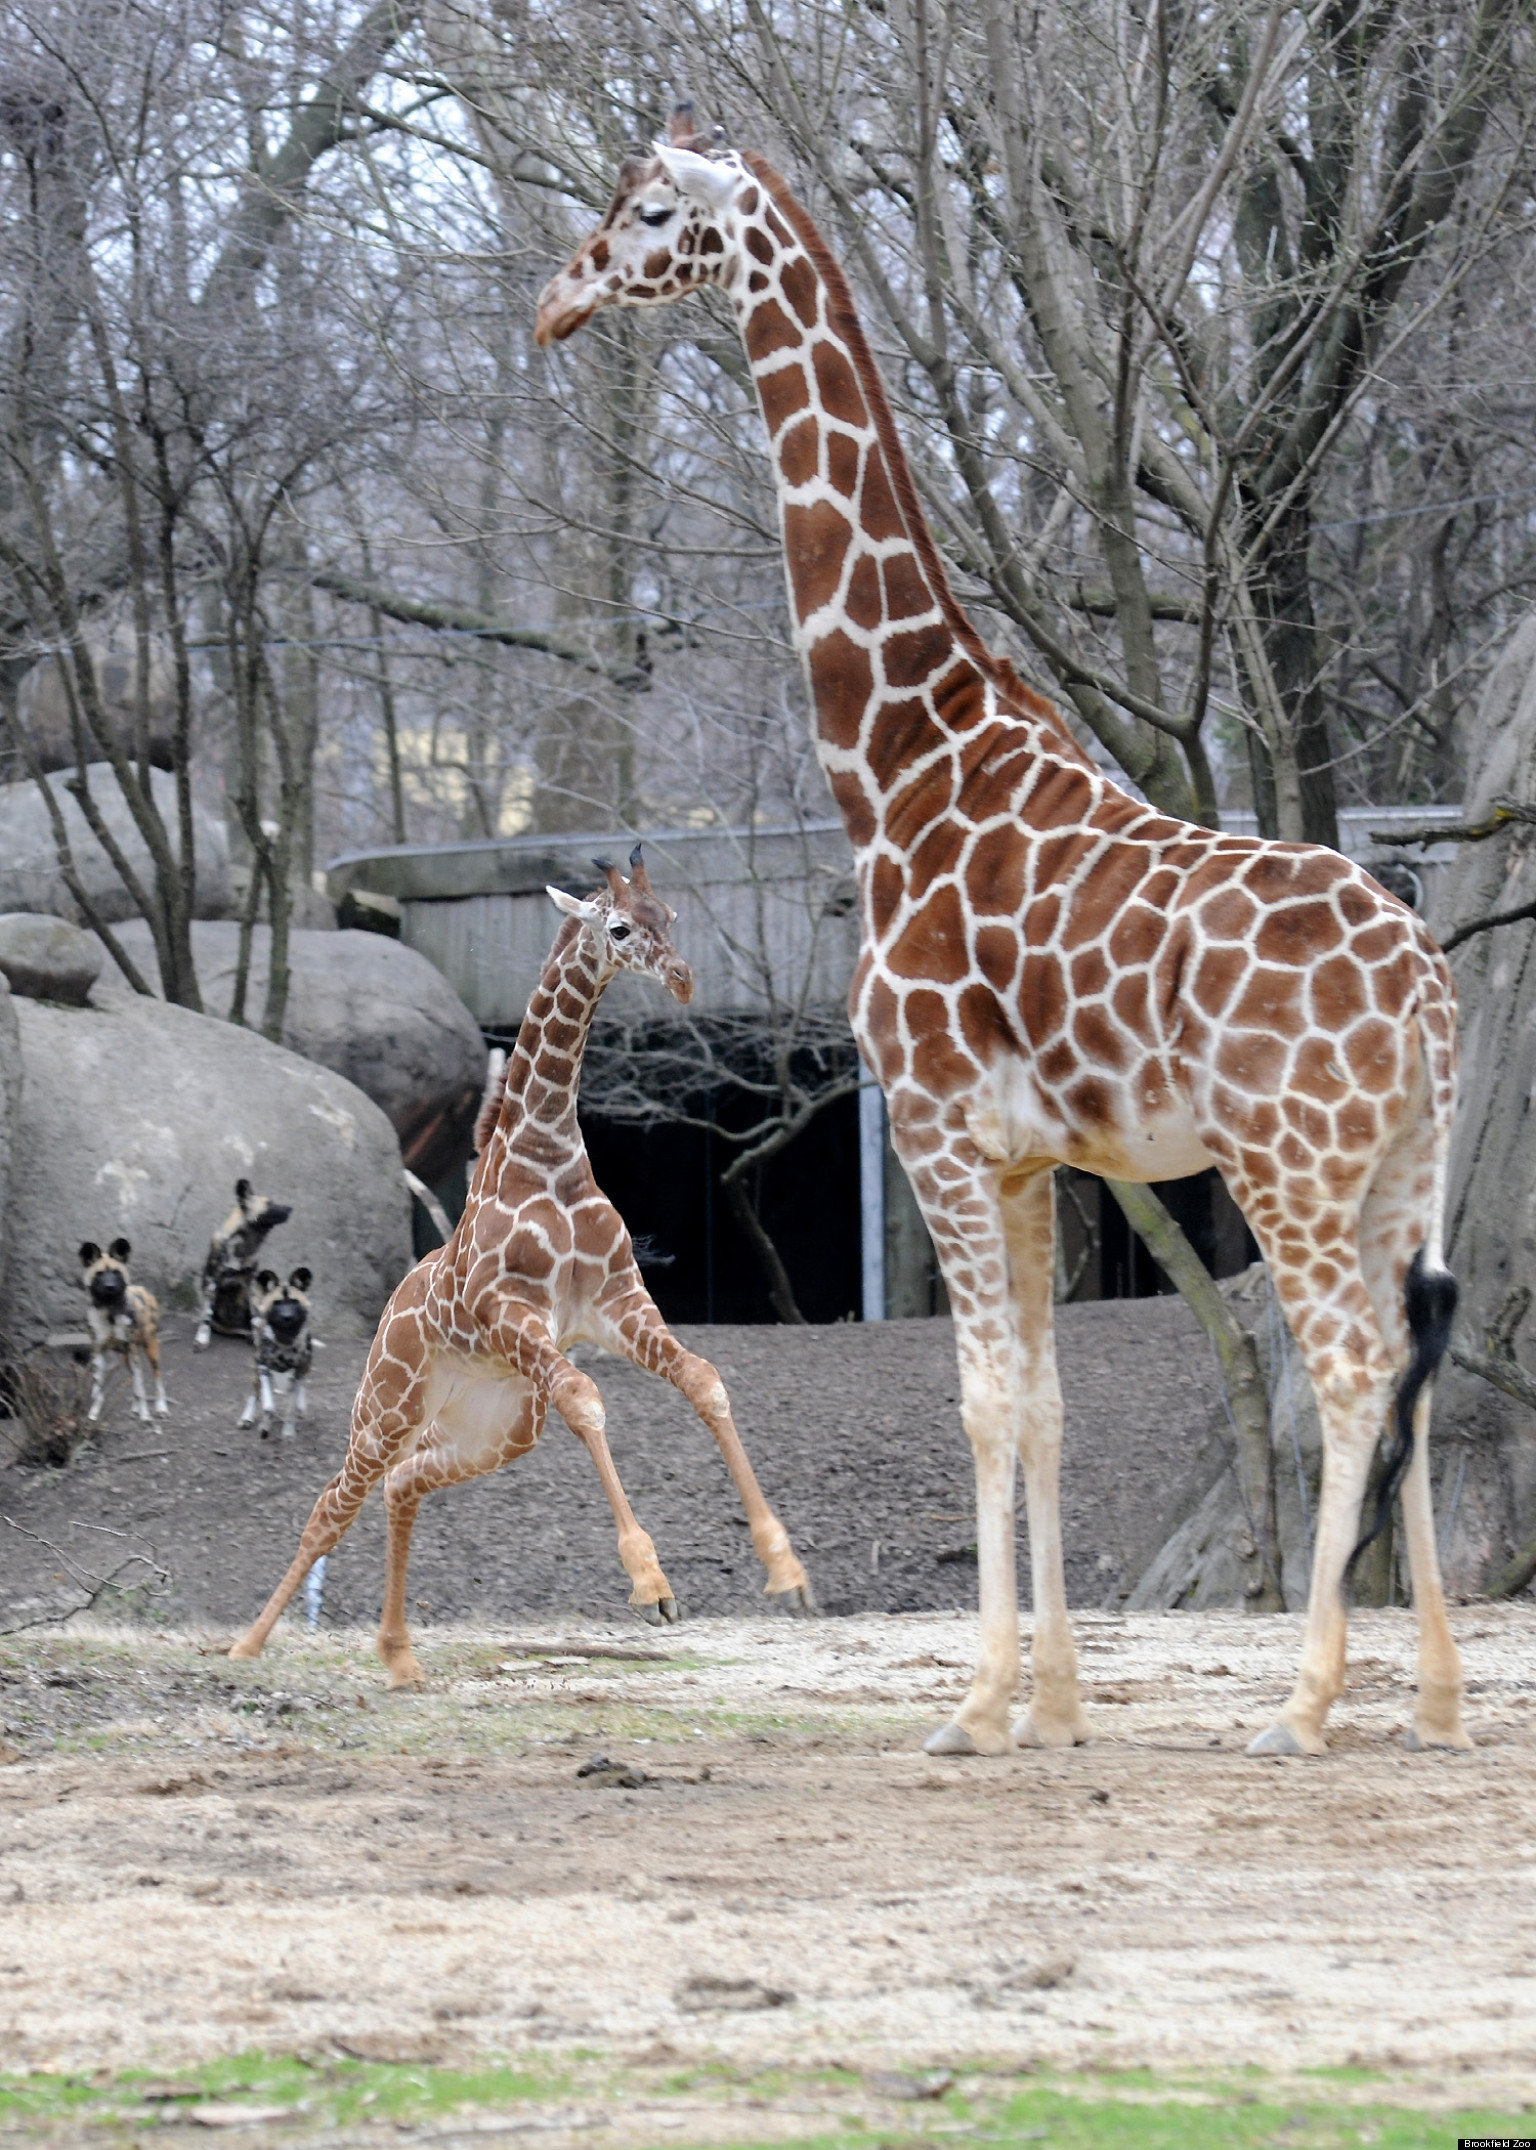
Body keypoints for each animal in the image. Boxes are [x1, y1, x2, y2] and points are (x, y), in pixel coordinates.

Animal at [229, 850, 813, 1684]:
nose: (683, 978)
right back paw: (245, 1645)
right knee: (330, 1507)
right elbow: (586, 1399)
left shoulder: (616, 1302)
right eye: (619, 926)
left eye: (670, 915)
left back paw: (399, 1657)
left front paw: (787, 1572)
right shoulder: (513, 1312)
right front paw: (652, 1585)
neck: (547, 1153)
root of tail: (393, 1306)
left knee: (403, 1483)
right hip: (385, 1407)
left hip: (494, 1430)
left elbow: (704, 1381)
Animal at [534, 110, 1469, 1761]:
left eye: (647, 212)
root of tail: (1422, 981)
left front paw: (973, 1706)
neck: (900, 761)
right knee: (1418, 1372)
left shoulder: (935, 1127)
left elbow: (979, 1400)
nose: (555, 301)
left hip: (1290, 1165)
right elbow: (1042, 1402)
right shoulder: (1034, 1158)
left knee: (1357, 1373)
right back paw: (1429, 1698)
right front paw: (1058, 1703)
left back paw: (1305, 1702)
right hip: (1404, 1170)